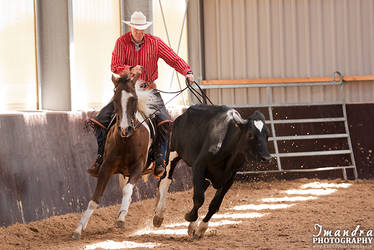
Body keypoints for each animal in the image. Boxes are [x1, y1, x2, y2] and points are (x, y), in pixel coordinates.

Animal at [72, 70, 159, 240]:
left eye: (134, 99)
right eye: (115, 99)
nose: (125, 129)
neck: (126, 141)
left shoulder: (138, 168)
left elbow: (127, 191)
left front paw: (120, 219)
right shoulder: (106, 167)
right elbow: (95, 198)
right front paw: (79, 228)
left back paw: (158, 216)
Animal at [152, 103, 272, 238]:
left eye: (267, 135)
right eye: (250, 134)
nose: (267, 157)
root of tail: (181, 115)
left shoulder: (229, 177)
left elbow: (215, 204)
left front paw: (201, 228)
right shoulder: (199, 166)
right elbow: (199, 198)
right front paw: (190, 216)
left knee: (203, 185)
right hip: (173, 151)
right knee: (165, 180)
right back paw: (159, 214)